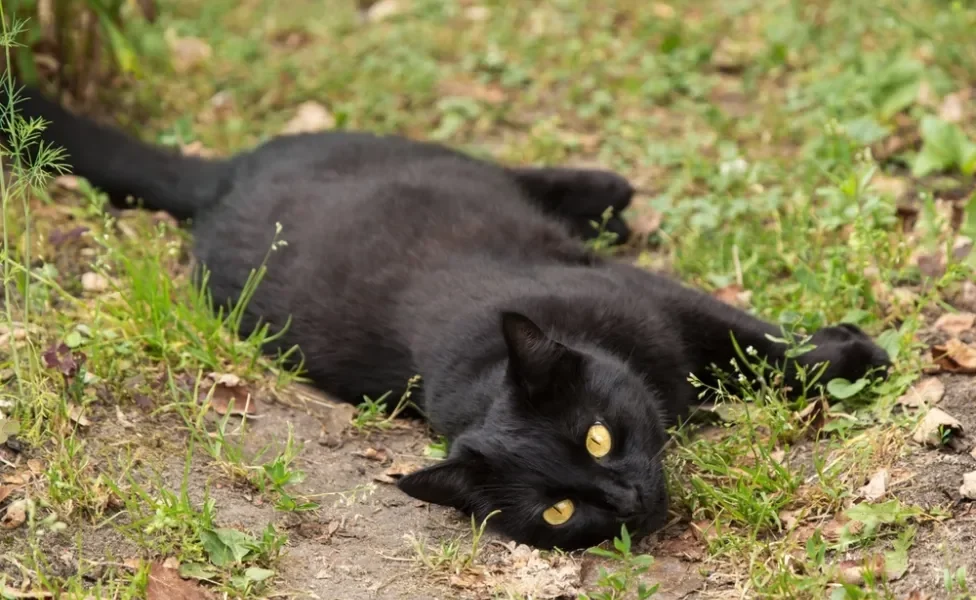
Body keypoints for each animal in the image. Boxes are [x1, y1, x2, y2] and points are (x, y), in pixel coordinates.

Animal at [1, 85, 892, 552]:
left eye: (597, 437)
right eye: (559, 511)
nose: (627, 498)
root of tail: (222, 181)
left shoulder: (655, 296)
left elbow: (762, 344)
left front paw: (858, 357)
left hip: (430, 159)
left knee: (520, 175)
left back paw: (605, 192)